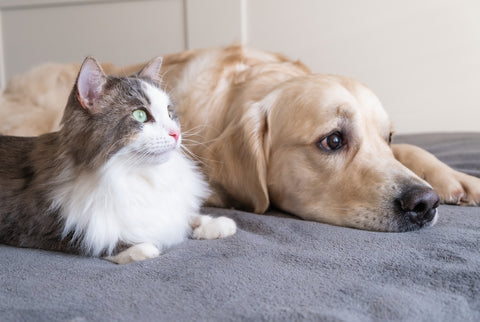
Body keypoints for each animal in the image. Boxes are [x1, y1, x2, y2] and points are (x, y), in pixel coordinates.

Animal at [0, 55, 236, 264]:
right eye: (140, 115)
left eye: (170, 113)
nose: (176, 133)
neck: (137, 175)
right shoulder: (38, 223)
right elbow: (95, 240)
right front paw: (141, 248)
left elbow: (185, 216)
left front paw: (215, 224)